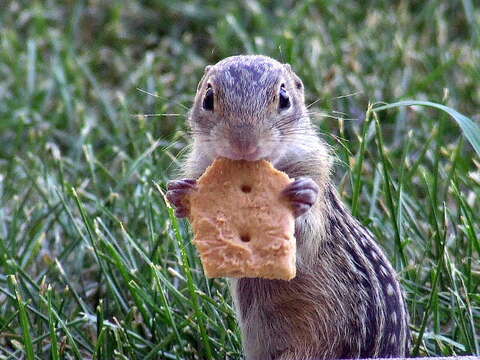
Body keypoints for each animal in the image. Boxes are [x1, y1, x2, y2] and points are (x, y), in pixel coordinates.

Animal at [167, 54, 410, 358]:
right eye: (208, 98)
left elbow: (307, 237)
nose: (244, 144)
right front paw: (179, 195)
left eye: (284, 98)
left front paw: (303, 196)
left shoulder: (316, 179)